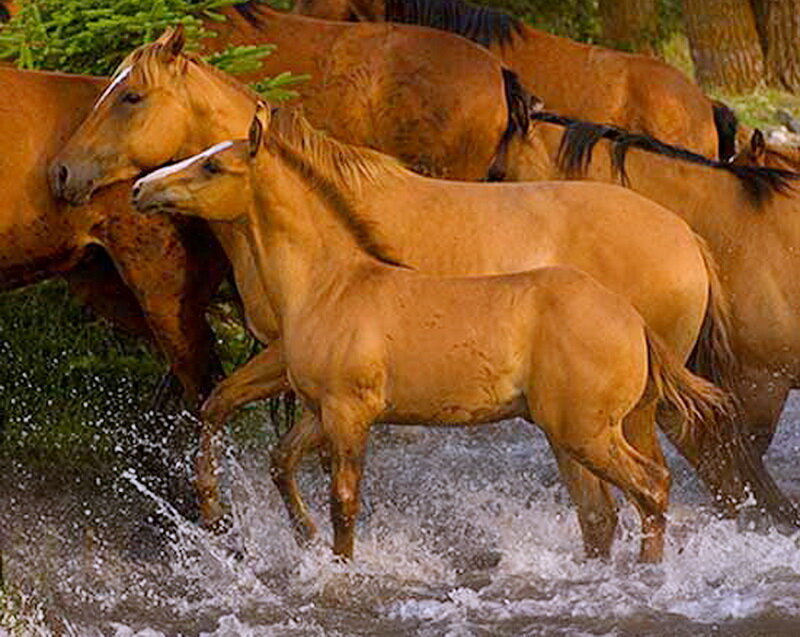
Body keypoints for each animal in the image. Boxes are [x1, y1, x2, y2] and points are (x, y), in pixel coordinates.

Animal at [49, 29, 730, 558]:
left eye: (130, 96)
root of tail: (688, 237)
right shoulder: (285, 362)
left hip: (627, 414)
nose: (61, 173)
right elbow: (224, 410)